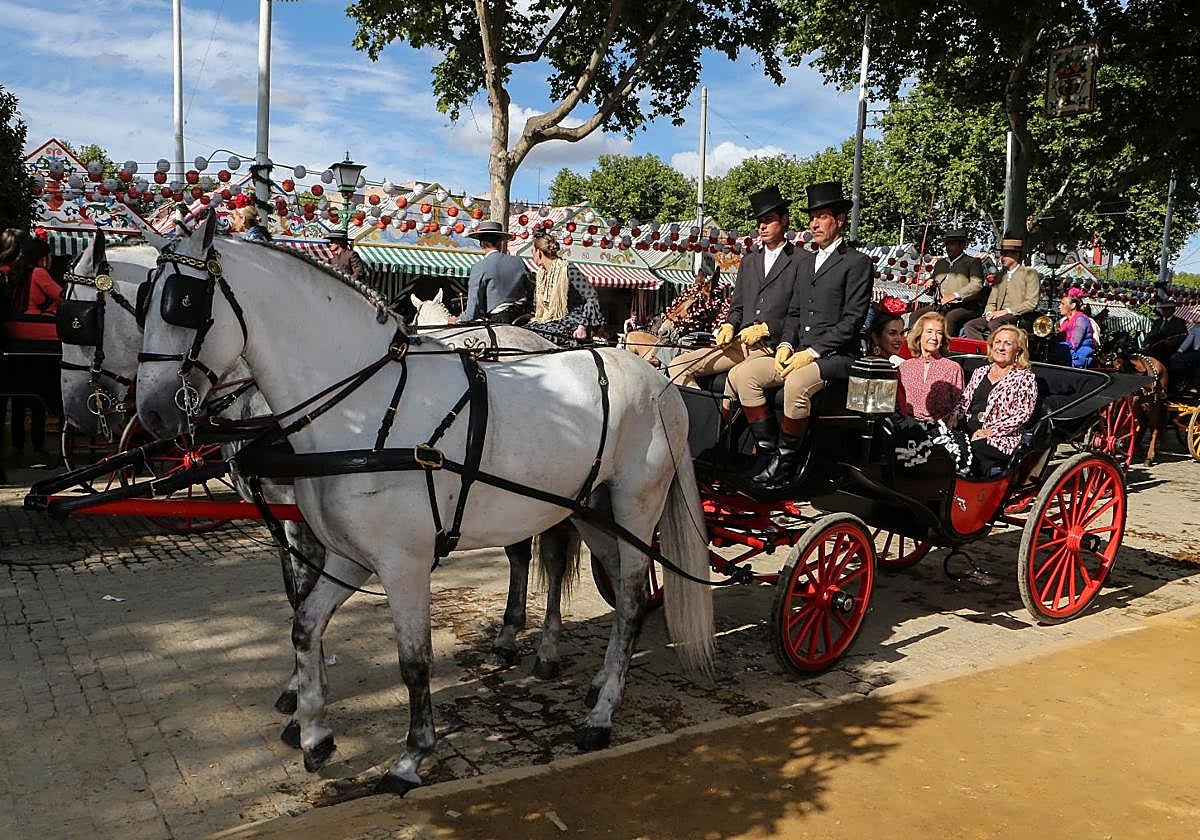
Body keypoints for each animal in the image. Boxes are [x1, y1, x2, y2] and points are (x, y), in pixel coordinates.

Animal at [134, 209, 713, 794]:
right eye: (143, 300)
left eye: (183, 301)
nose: (153, 413)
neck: (365, 408)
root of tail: (659, 382)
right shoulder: (348, 556)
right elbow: (304, 625)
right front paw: (314, 731)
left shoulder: (403, 565)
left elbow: (414, 661)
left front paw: (411, 757)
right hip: (592, 508)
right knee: (612, 587)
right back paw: (597, 680)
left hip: (635, 507)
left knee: (631, 601)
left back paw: (600, 713)